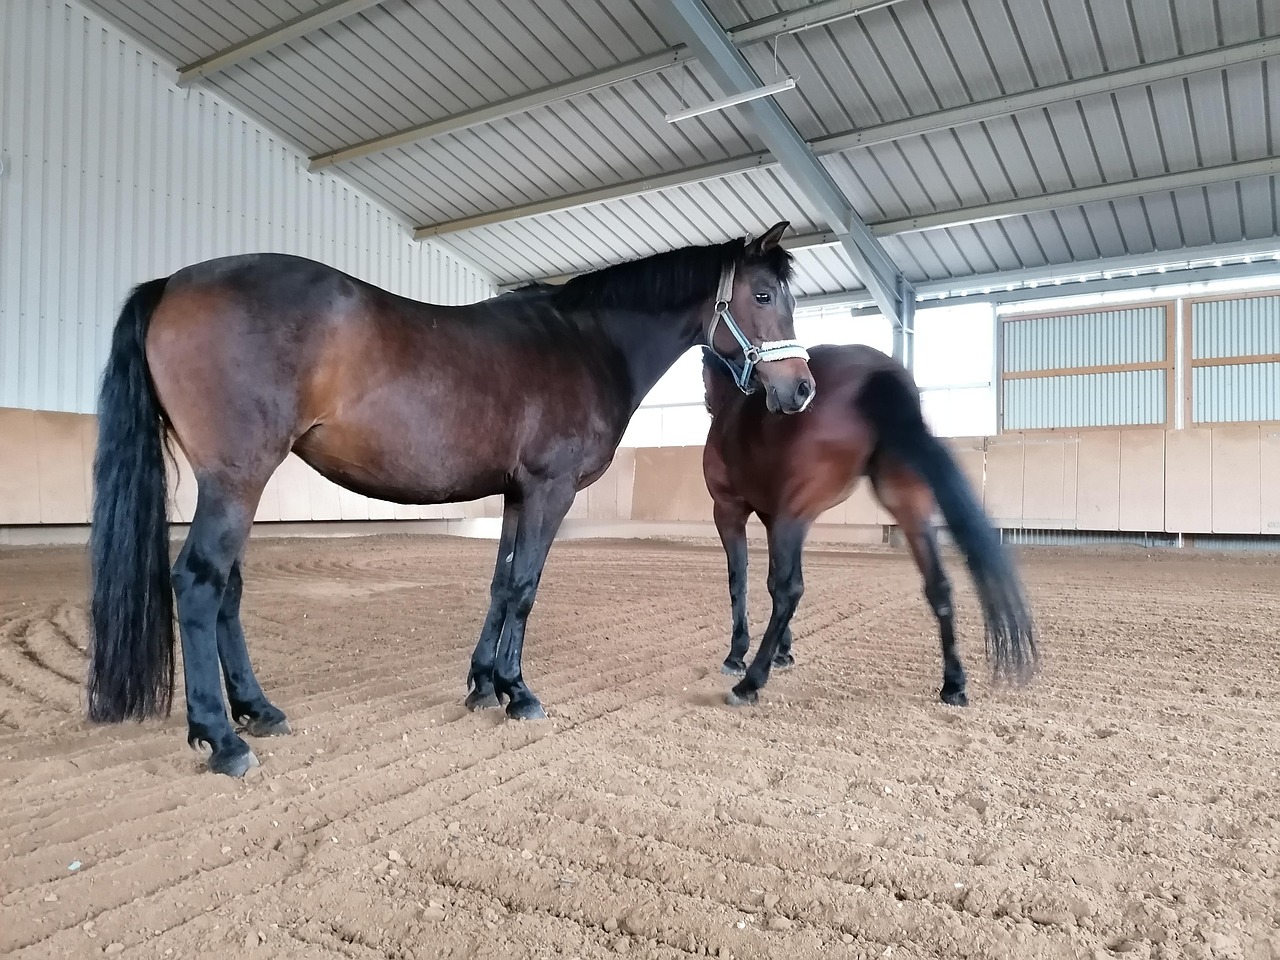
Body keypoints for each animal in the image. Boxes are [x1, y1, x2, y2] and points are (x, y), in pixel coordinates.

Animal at [86, 221, 816, 777]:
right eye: (761, 293)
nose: (801, 390)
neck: (588, 341)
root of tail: (172, 284)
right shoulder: (549, 489)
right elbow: (526, 587)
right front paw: (518, 693)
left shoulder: (517, 493)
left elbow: (501, 583)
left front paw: (483, 684)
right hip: (238, 478)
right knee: (199, 583)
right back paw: (224, 739)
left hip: (236, 482)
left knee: (227, 590)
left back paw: (259, 711)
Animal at [700, 341, 1038, 710]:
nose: (707, 401)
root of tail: (879, 372)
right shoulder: (770, 517)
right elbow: (768, 579)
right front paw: (783, 651)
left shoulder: (731, 511)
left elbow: (742, 581)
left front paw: (738, 655)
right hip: (906, 504)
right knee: (938, 585)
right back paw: (954, 684)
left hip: (798, 510)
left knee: (790, 590)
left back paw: (750, 683)